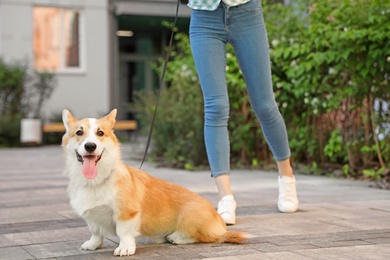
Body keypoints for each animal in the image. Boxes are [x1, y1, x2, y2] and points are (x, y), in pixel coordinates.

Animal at [62, 108, 248, 256]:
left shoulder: (126, 213)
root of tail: (220, 224)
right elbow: (96, 232)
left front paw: (125, 248)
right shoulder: (92, 217)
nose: (90, 146)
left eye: (100, 133)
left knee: (205, 237)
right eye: (79, 133)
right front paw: (92, 244)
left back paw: (177, 237)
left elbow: (124, 232)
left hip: (191, 216)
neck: (96, 181)